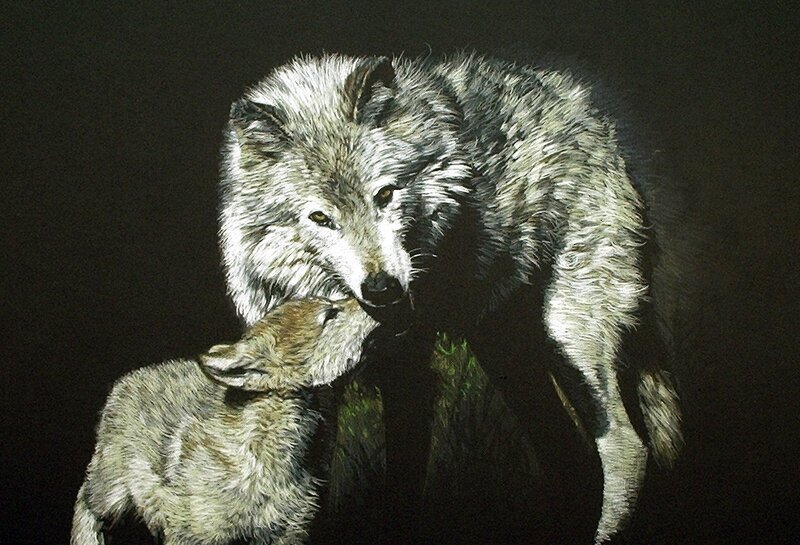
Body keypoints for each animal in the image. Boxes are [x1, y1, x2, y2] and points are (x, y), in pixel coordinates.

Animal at [71, 297, 378, 545]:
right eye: (330, 314)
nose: (377, 300)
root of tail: (125, 381)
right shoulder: (192, 534)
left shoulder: (288, 532)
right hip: (111, 492)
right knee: (86, 503)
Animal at [219, 52, 686, 543]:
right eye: (320, 218)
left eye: (385, 194)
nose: (383, 289)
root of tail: (590, 117)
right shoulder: (311, 393)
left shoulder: (408, 373)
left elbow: (403, 485)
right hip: (508, 355)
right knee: (564, 447)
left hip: (569, 338)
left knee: (626, 444)